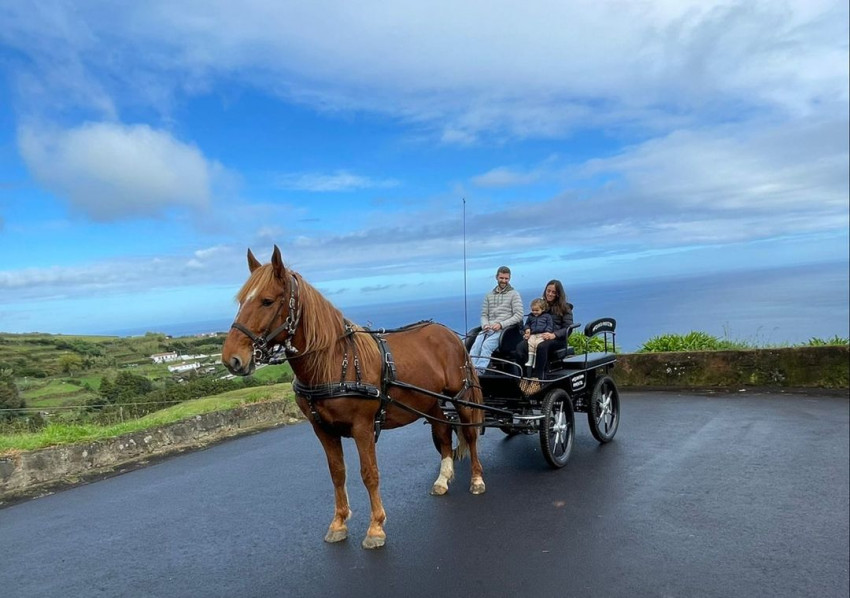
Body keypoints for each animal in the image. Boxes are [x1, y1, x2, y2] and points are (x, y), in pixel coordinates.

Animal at [220, 246, 484, 552]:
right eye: (241, 301)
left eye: (267, 301)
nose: (231, 359)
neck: (334, 362)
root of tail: (448, 333)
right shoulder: (322, 429)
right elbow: (337, 473)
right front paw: (338, 523)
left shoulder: (363, 427)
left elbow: (369, 473)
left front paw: (376, 527)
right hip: (432, 401)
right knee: (442, 433)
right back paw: (443, 478)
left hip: (461, 397)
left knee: (471, 435)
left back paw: (477, 478)